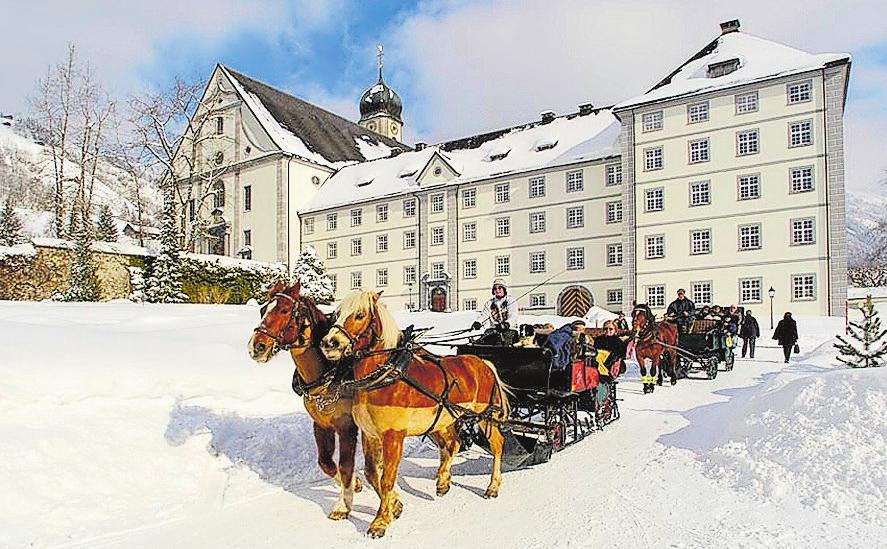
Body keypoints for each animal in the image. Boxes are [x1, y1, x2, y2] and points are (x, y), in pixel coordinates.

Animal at [246, 282, 364, 520]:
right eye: (262, 310)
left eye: (284, 310)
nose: (257, 347)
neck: (329, 372)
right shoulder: (320, 424)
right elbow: (326, 463)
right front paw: (355, 483)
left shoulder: (346, 426)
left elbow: (345, 464)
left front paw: (343, 504)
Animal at [322, 288, 510, 536]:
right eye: (336, 314)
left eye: (360, 315)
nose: (329, 343)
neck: (384, 376)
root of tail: (482, 362)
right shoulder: (369, 434)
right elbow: (373, 474)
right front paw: (395, 506)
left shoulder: (393, 436)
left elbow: (387, 478)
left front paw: (380, 521)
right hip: (445, 420)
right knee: (453, 444)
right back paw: (443, 481)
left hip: (486, 417)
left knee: (497, 445)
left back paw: (492, 486)